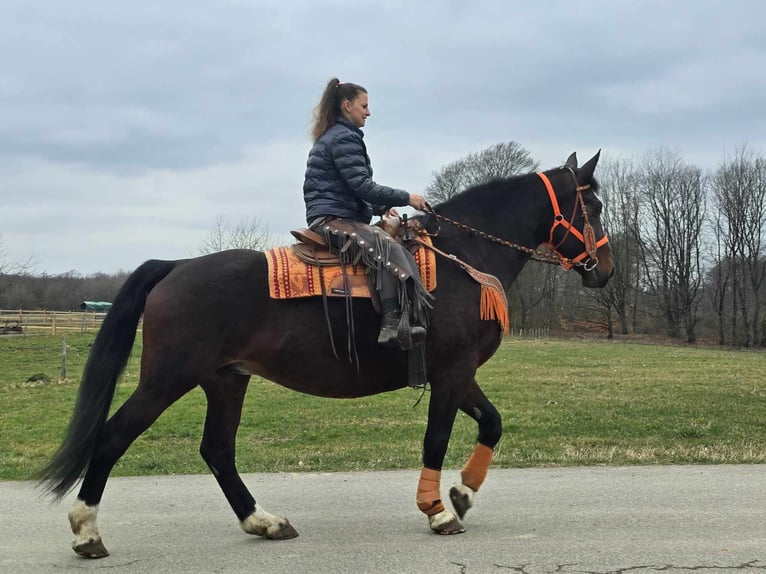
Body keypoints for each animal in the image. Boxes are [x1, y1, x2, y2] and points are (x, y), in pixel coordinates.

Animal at [37, 152, 616, 560]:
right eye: (594, 206)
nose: (606, 270)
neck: (461, 261)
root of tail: (176, 266)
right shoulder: (451, 373)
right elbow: (436, 437)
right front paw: (437, 510)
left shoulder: (458, 373)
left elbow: (492, 423)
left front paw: (463, 493)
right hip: (167, 379)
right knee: (113, 437)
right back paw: (86, 533)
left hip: (226, 379)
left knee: (218, 450)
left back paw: (264, 521)